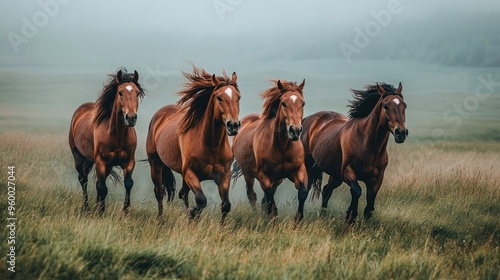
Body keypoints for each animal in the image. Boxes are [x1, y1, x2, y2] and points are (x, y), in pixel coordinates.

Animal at [68, 68, 145, 214]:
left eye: (137, 93)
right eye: (120, 93)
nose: (131, 118)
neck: (117, 136)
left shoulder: (129, 161)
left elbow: (128, 183)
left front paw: (125, 210)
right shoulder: (101, 162)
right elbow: (102, 188)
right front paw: (101, 212)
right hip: (79, 157)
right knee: (84, 180)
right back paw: (86, 208)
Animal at [146, 65, 241, 223]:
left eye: (238, 97)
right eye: (219, 97)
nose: (233, 126)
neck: (211, 146)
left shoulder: (224, 175)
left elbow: (226, 205)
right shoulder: (190, 173)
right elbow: (201, 200)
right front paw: (191, 214)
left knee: (182, 193)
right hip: (156, 164)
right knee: (159, 192)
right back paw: (160, 219)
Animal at [231, 79, 308, 221]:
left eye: (303, 103)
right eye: (283, 103)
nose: (295, 131)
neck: (282, 147)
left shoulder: (298, 170)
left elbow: (302, 193)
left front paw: (298, 220)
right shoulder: (264, 176)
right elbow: (270, 200)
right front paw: (274, 219)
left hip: (277, 180)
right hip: (248, 174)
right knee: (252, 195)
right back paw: (256, 215)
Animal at [300, 82, 406, 223]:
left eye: (404, 106)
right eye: (386, 106)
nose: (401, 133)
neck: (369, 146)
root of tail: (309, 119)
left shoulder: (377, 179)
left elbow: (369, 205)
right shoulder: (348, 173)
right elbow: (357, 191)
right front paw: (350, 216)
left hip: (335, 175)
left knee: (327, 190)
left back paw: (322, 216)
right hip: (310, 165)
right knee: (305, 191)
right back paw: (299, 217)